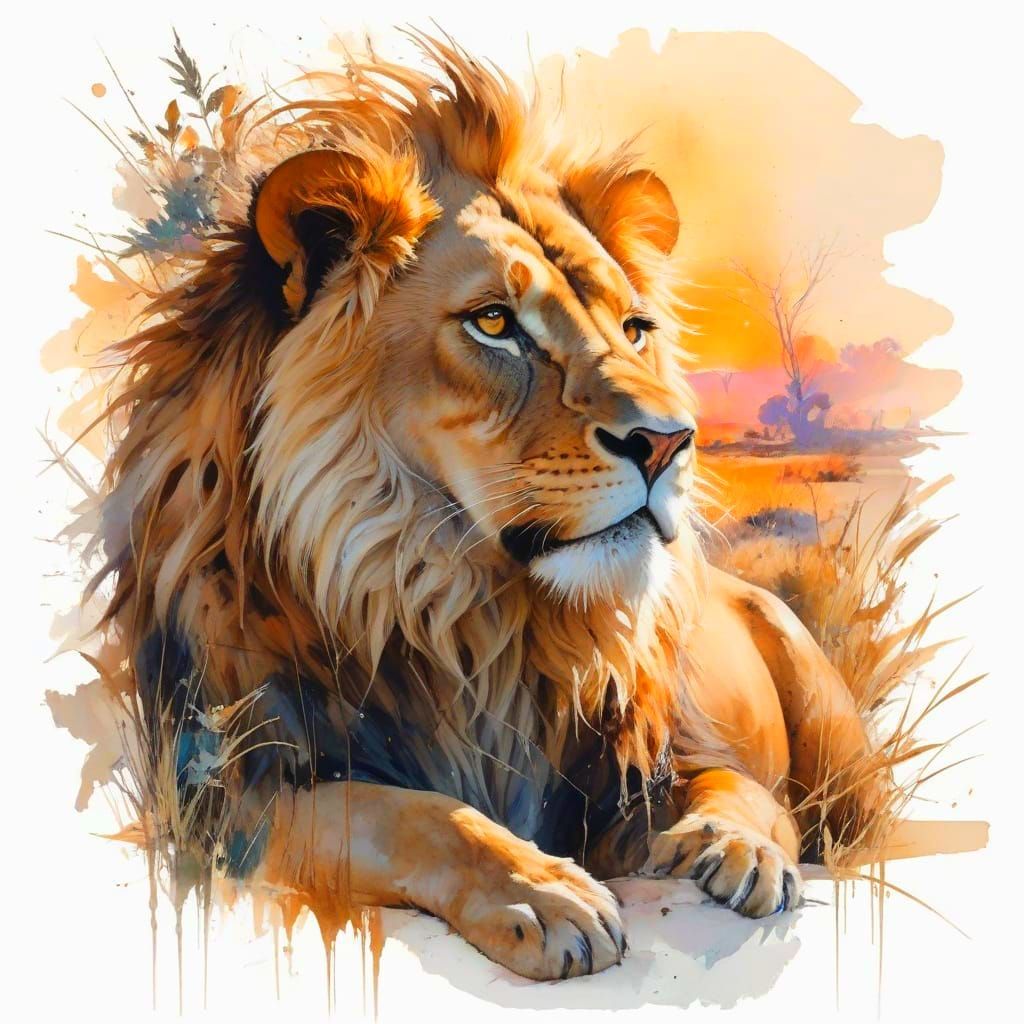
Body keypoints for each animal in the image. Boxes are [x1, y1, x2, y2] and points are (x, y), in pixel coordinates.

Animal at [88, 34, 886, 981]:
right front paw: (542, 893)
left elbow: (744, 790)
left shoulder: (646, 759)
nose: (669, 441)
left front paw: (741, 847)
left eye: (634, 330)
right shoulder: (218, 798)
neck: (465, 611)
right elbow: (401, 812)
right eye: (496, 323)